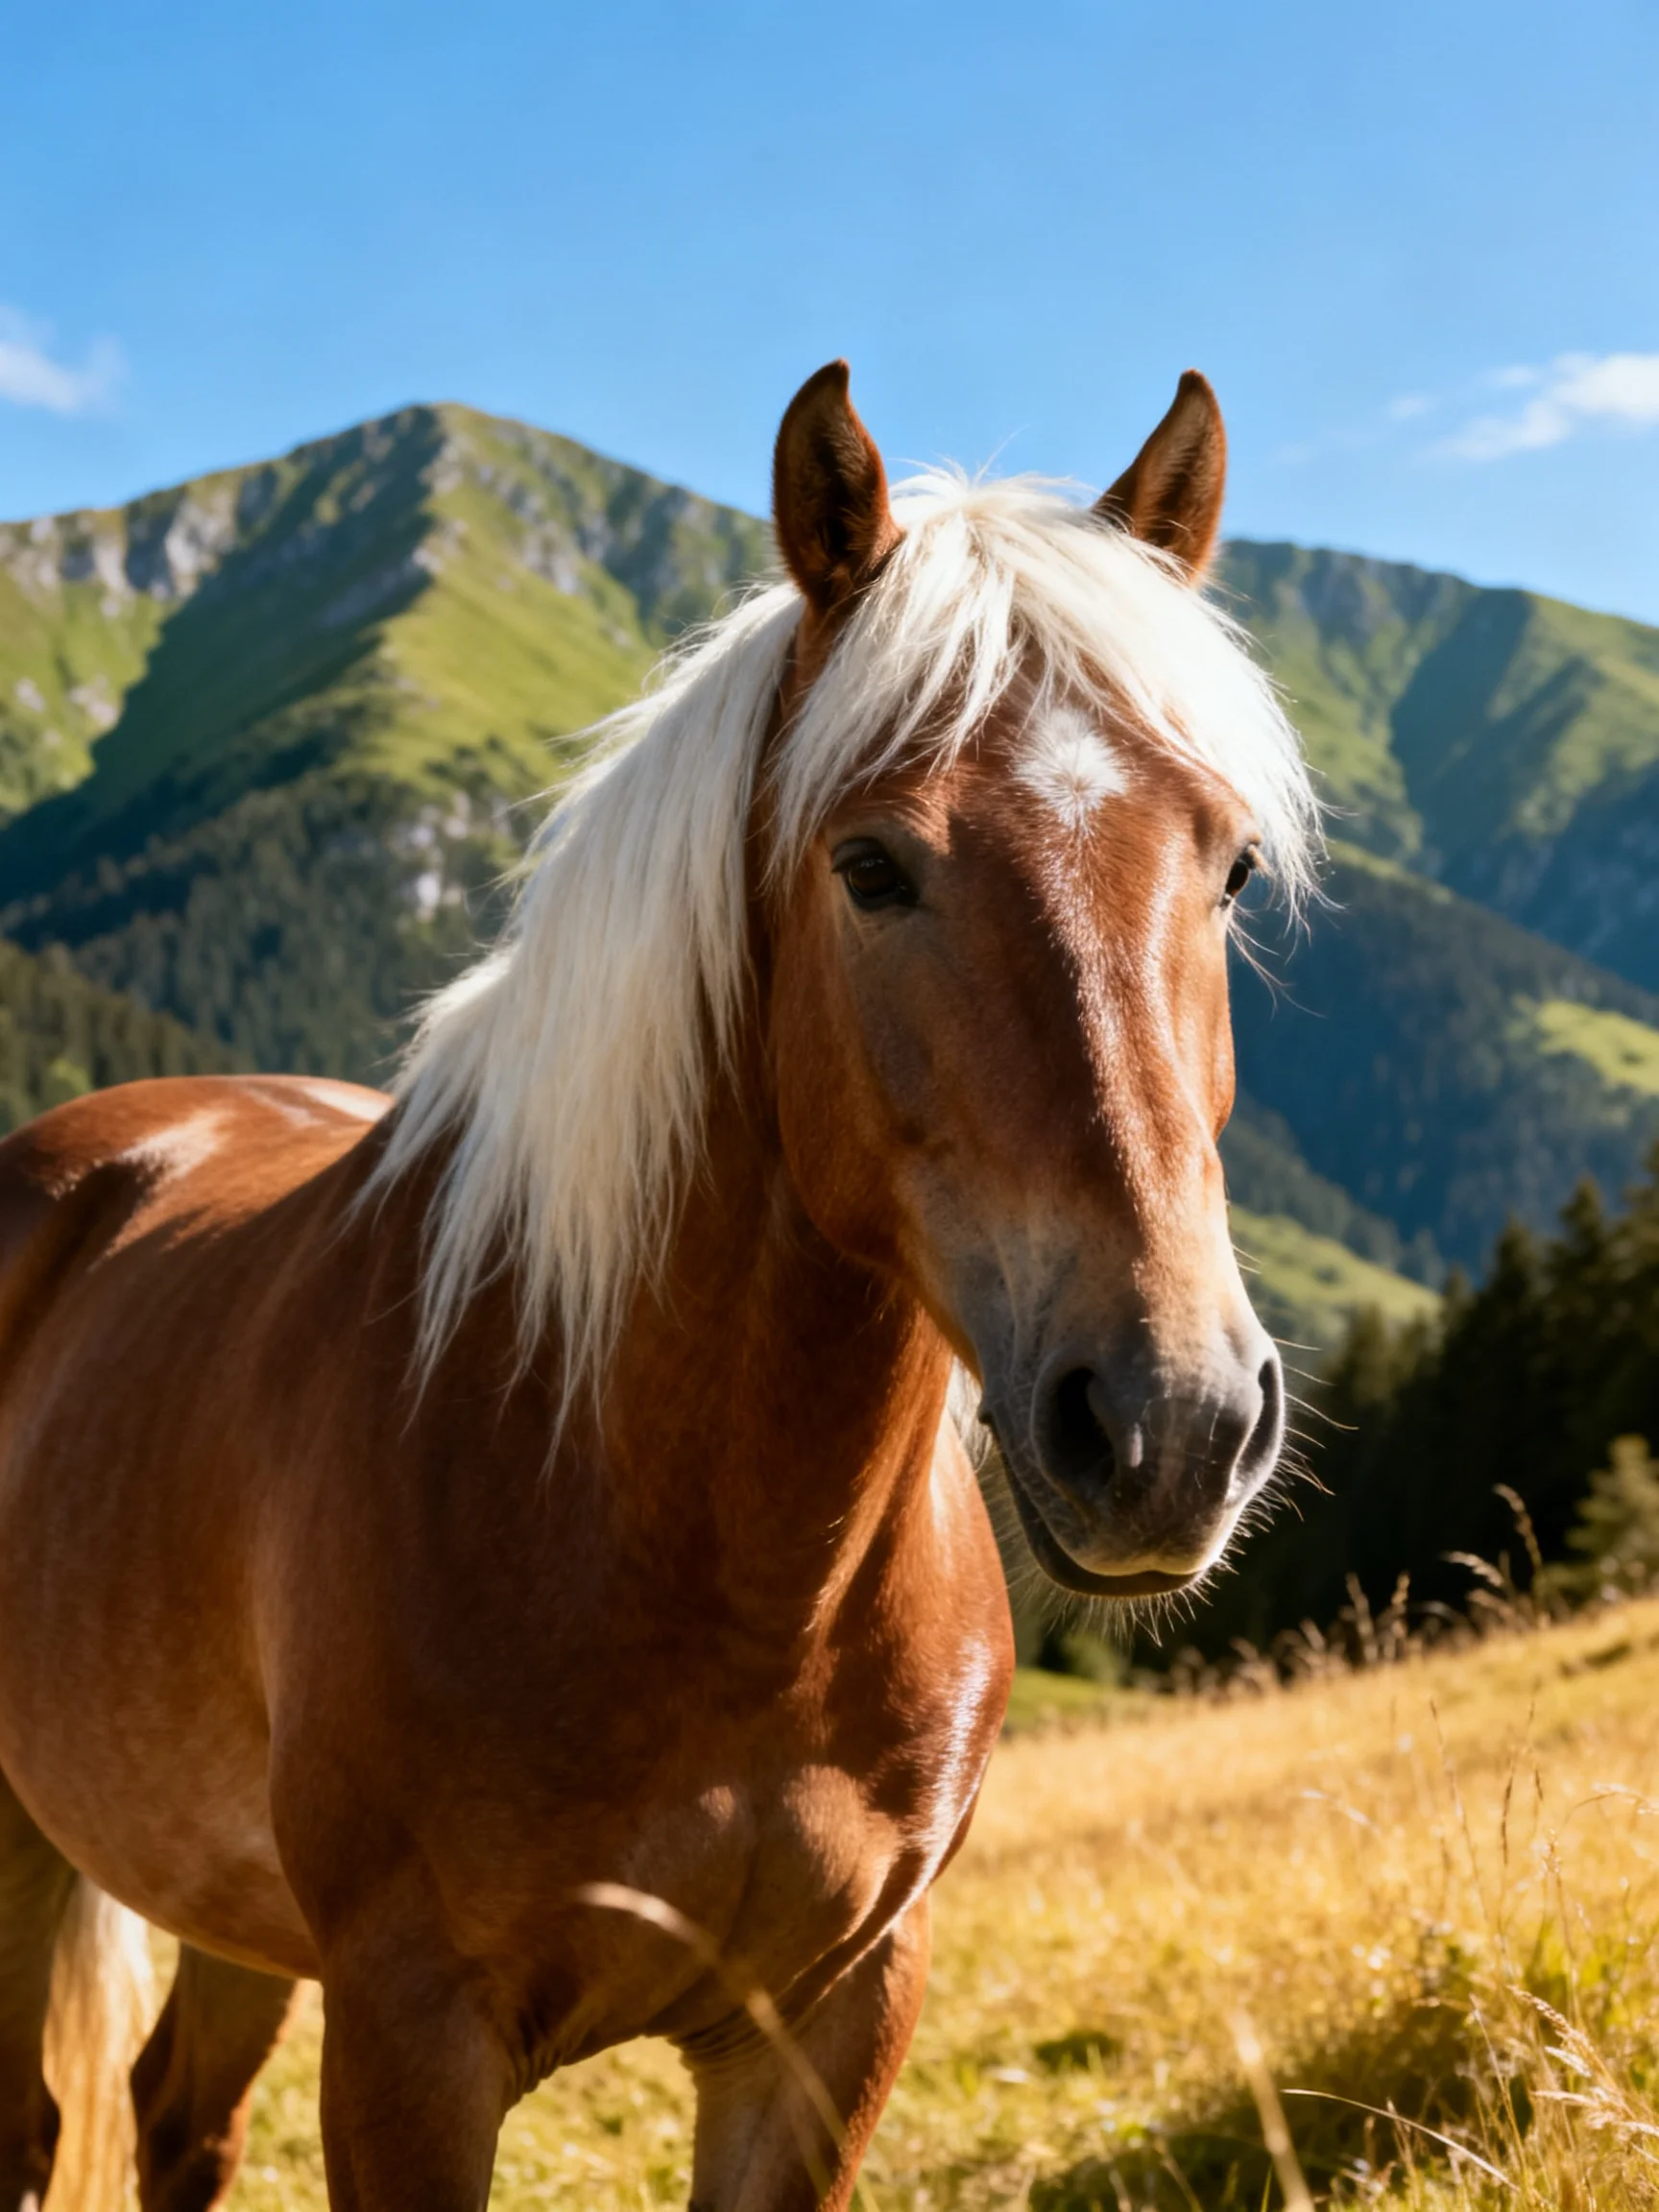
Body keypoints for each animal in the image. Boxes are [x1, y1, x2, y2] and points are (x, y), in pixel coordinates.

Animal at [0, 361, 1317, 2211]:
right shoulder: (408, 2045)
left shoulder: (827, 2025)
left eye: (1230, 867)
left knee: (176, 2112)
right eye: (871, 866)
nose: (1167, 1419)